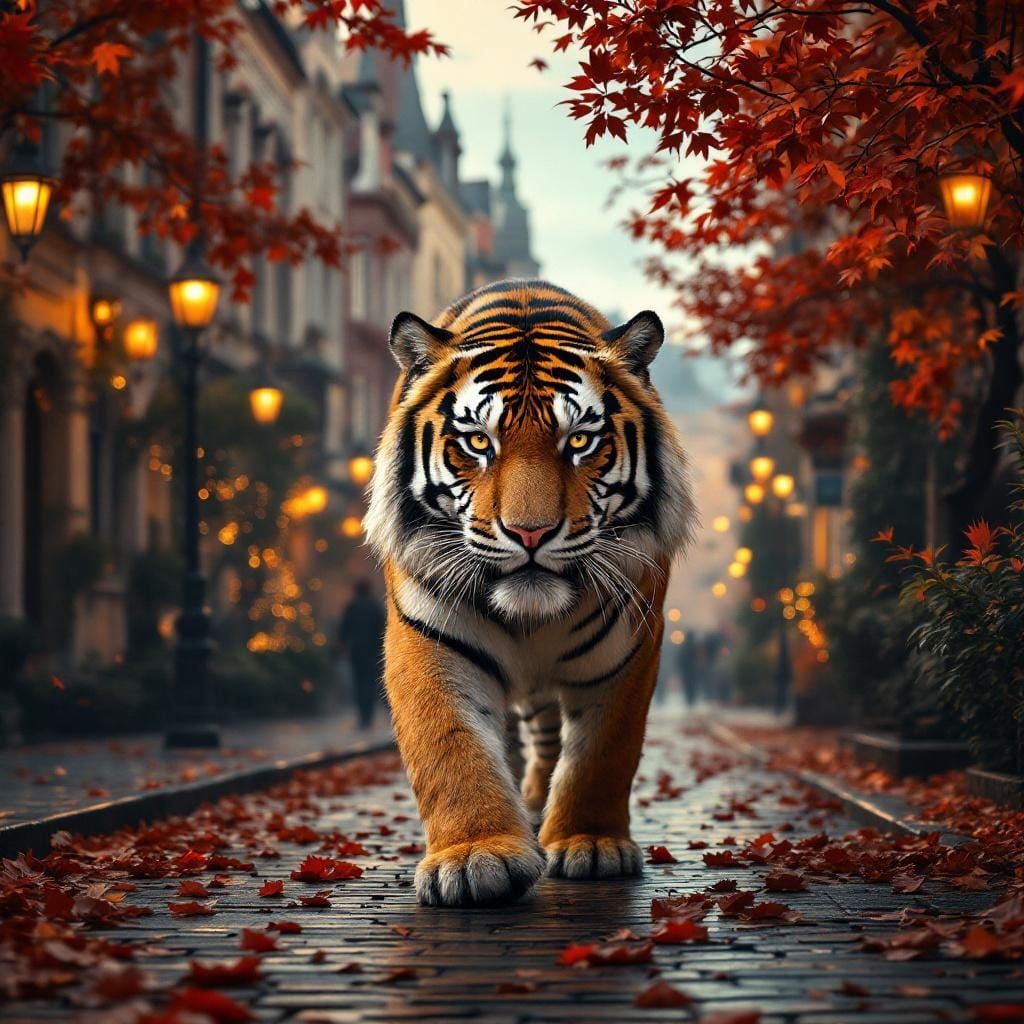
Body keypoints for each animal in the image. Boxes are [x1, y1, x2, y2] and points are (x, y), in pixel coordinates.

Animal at [363, 279, 695, 907]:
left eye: (581, 440)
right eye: (477, 441)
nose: (530, 533)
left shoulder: (631, 648)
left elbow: (602, 753)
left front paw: (591, 843)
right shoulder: (428, 638)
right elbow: (451, 747)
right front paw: (476, 855)